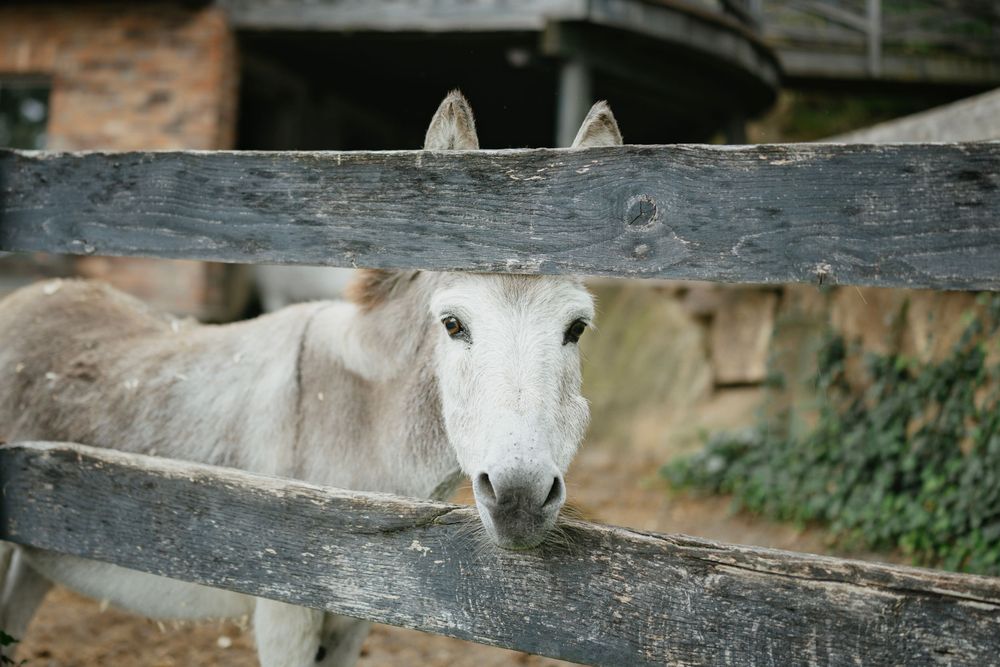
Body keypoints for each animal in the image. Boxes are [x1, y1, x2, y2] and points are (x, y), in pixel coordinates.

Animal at [0, 91, 623, 666]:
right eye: (453, 324)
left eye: (576, 329)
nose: (519, 498)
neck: (361, 418)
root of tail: (33, 293)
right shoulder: (286, 607)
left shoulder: (357, 613)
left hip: (37, 551)